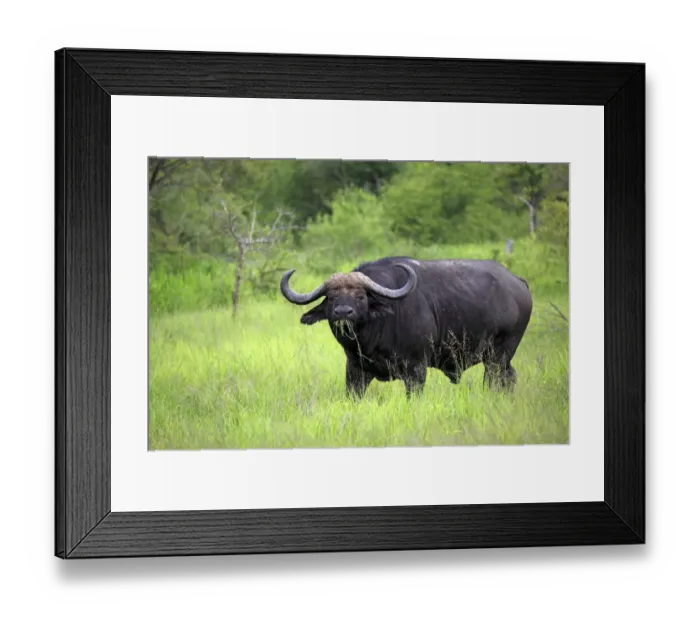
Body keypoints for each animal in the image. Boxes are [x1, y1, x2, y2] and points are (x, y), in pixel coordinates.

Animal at [279, 256, 533, 399]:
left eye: (360, 296)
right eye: (331, 297)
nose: (343, 312)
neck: (371, 338)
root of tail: (518, 282)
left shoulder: (416, 370)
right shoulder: (355, 370)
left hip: (497, 357)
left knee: (495, 381)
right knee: (511, 377)